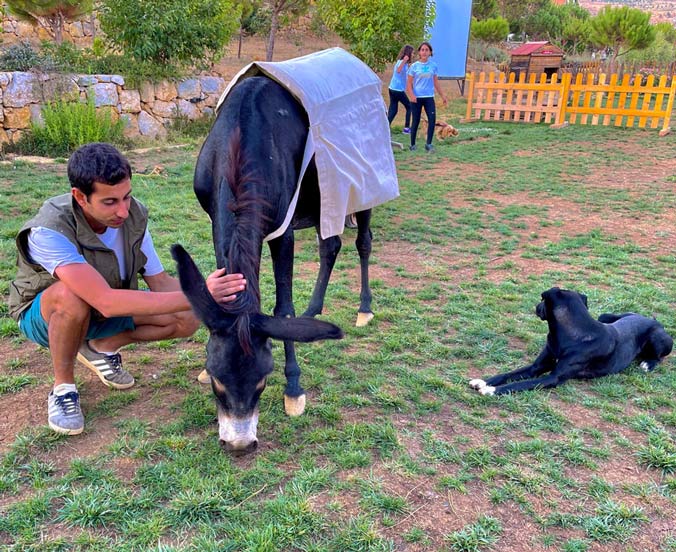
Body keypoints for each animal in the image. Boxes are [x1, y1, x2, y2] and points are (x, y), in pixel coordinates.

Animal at [470, 286, 672, 394]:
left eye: (542, 300)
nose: (536, 306)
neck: (568, 336)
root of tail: (653, 319)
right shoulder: (536, 367)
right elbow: (508, 374)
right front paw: (483, 381)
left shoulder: (552, 378)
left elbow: (518, 384)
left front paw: (490, 390)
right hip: (606, 315)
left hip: (657, 338)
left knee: (660, 357)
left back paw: (648, 364)